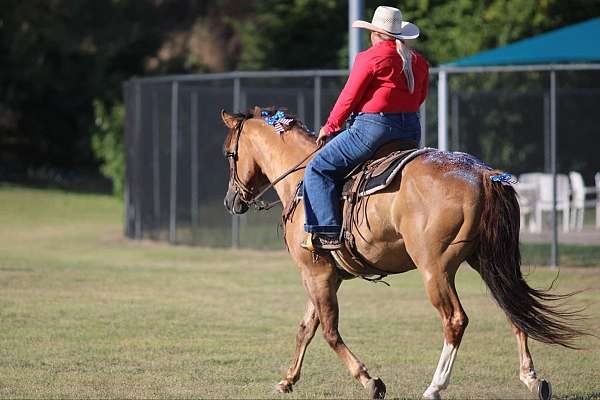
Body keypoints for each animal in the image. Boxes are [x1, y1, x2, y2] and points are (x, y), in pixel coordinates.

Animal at [218, 108, 584, 398]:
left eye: (228, 154)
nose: (231, 200)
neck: (300, 179)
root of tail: (483, 174)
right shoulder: (326, 275)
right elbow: (306, 327)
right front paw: (287, 380)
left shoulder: (315, 273)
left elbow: (329, 332)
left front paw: (370, 381)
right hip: (489, 262)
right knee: (513, 311)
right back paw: (532, 380)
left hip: (435, 269)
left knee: (455, 320)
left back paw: (435, 387)